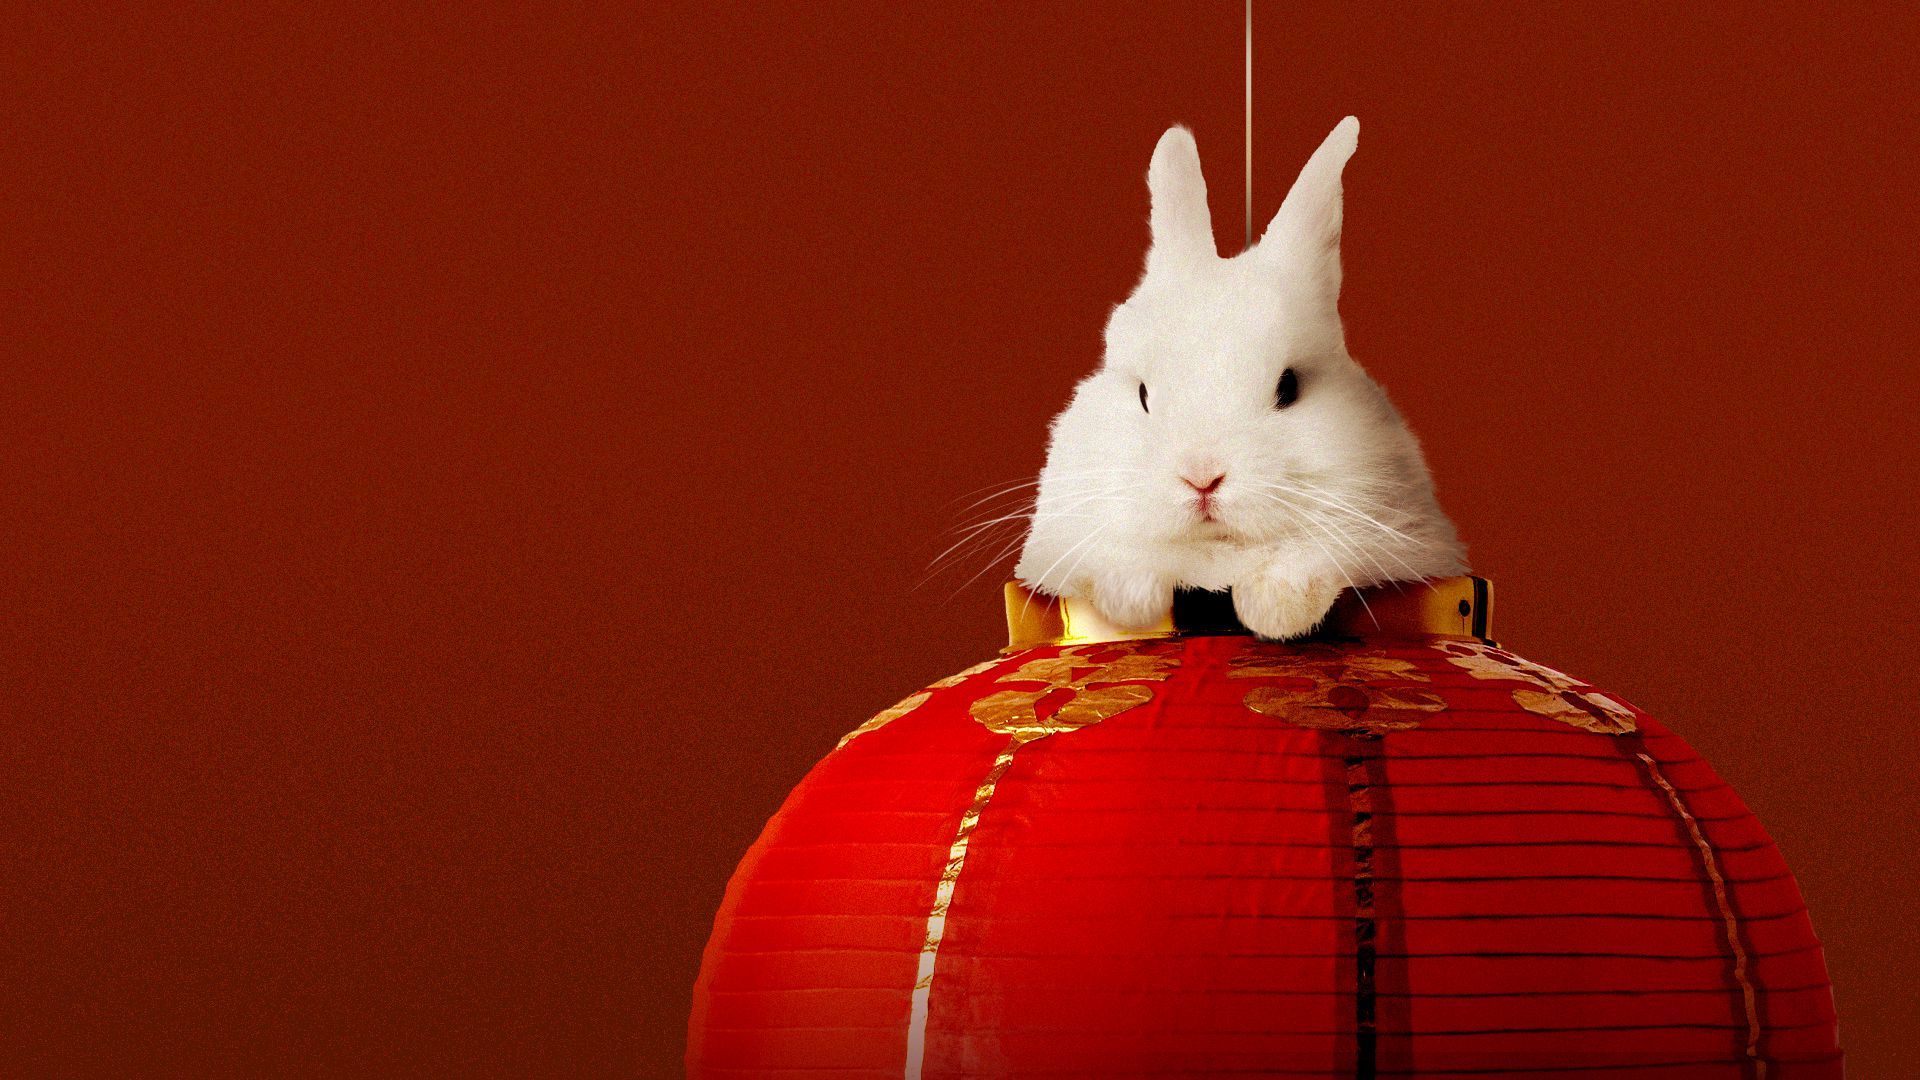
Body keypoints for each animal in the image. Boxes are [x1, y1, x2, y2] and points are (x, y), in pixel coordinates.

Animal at [1013, 117, 1466, 640]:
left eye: (1289, 388)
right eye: (1144, 394)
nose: (1202, 477)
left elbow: (1310, 561)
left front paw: (1274, 611)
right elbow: (1120, 564)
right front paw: (1132, 604)